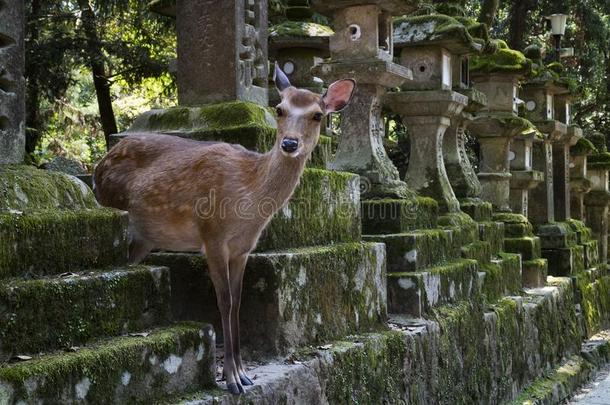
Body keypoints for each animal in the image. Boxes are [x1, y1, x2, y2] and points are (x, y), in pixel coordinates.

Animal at [92, 64, 354, 392]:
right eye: (279, 109)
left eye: (318, 115)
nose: (290, 143)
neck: (248, 202)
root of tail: (97, 167)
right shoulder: (212, 235)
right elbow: (225, 301)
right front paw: (231, 379)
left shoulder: (242, 249)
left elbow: (239, 302)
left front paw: (244, 374)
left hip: (142, 240)